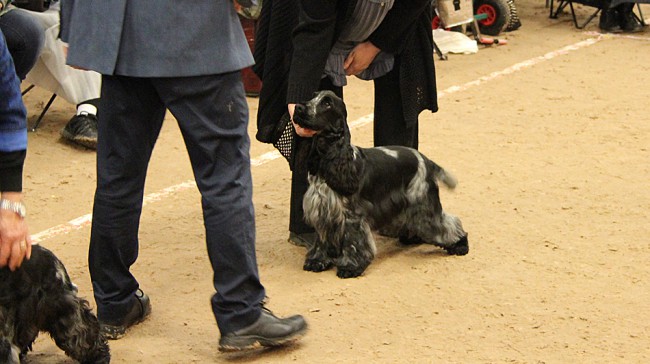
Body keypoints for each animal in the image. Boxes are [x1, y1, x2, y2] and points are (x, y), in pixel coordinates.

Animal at [292, 91, 466, 278]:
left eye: (327, 103)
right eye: (313, 97)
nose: (298, 107)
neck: (328, 160)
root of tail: (427, 160)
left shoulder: (352, 216)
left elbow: (354, 243)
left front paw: (350, 267)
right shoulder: (322, 211)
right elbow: (322, 239)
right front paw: (317, 261)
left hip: (424, 206)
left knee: (448, 224)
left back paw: (461, 245)